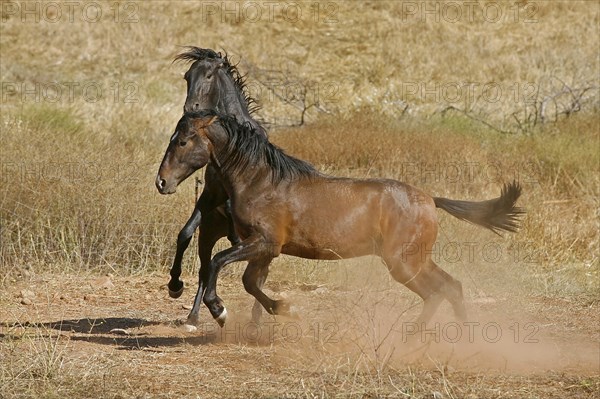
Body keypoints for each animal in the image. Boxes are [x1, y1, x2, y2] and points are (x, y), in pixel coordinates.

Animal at [157, 111, 524, 330]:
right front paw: (285, 308)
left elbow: (218, 262)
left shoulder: (263, 243)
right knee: (452, 287)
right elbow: (250, 283)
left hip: (403, 262)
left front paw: (220, 310)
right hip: (415, 259)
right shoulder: (265, 250)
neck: (261, 181)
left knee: (437, 292)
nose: (162, 182)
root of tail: (431, 200)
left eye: (183, 140)